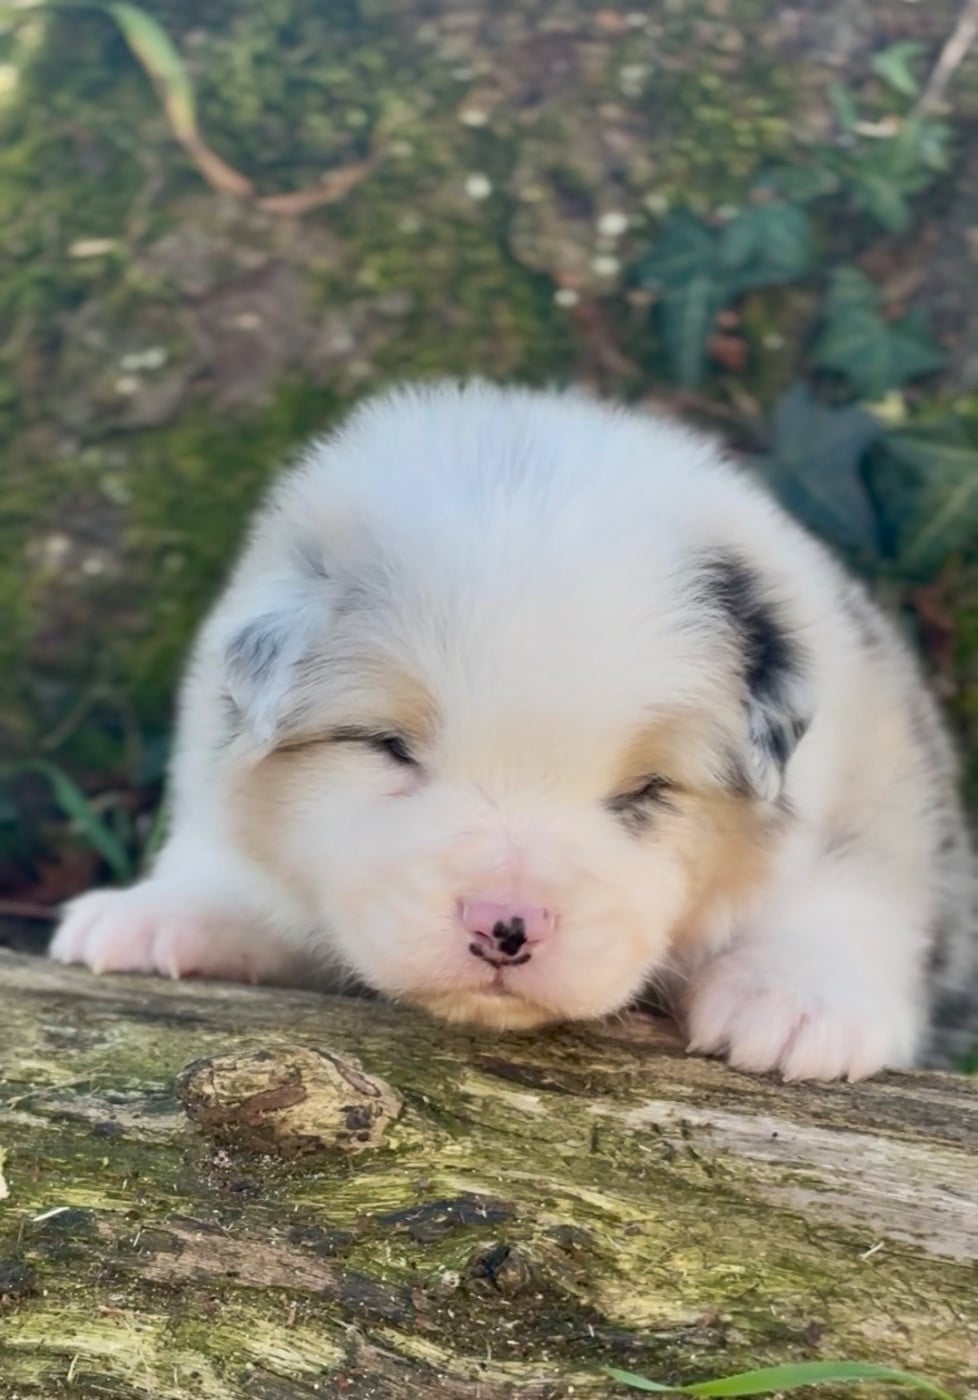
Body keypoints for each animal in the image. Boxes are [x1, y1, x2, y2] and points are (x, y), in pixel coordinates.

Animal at [50, 381, 978, 1080]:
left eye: (646, 791)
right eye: (391, 748)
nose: (506, 926)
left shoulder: (875, 786)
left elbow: (847, 891)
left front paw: (796, 1005)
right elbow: (234, 868)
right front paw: (152, 918)